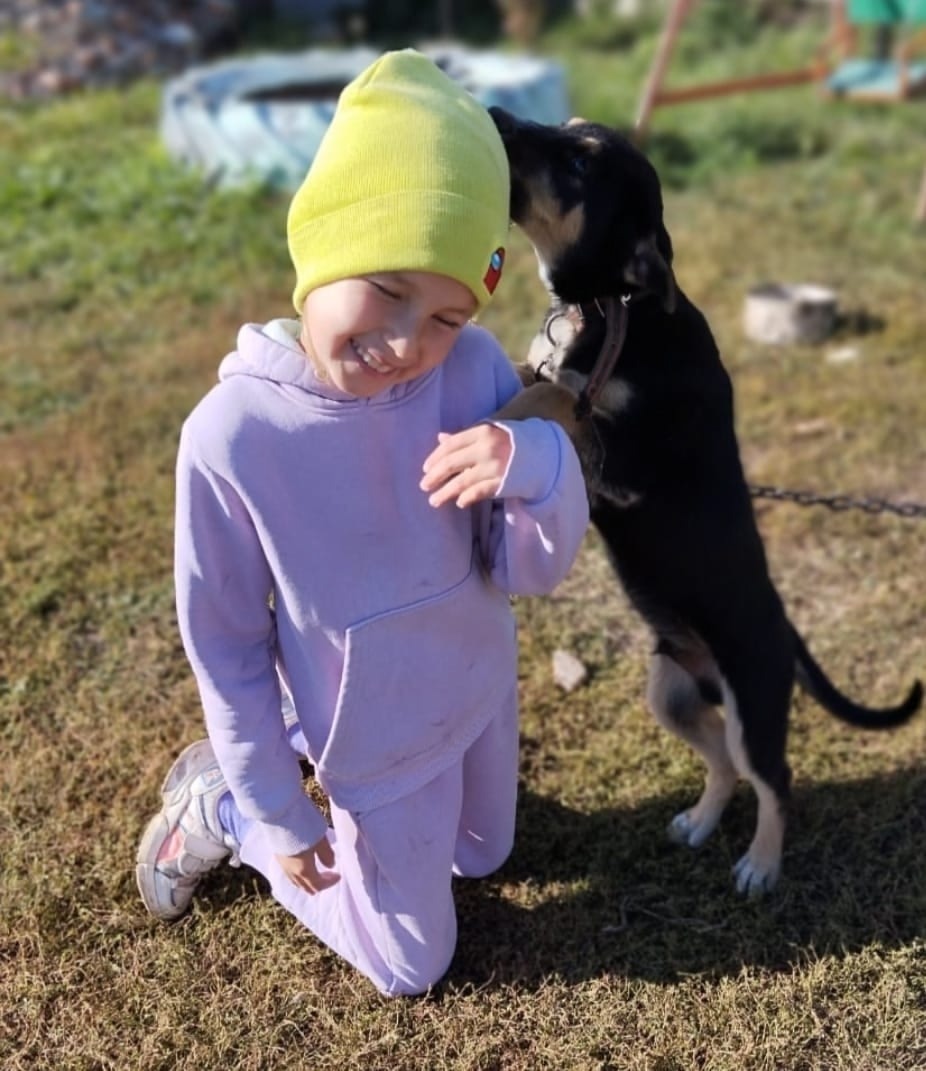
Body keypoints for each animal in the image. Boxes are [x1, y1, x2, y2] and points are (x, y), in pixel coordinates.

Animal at [489, 107, 922, 895]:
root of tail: (785, 629)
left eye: (580, 162)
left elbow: (557, 394)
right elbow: (537, 375)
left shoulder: (624, 461)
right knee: (721, 758)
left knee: (773, 779)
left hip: (754, 701)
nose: (499, 115)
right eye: (566, 127)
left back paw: (760, 863)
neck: (617, 306)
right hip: (672, 691)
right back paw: (701, 820)